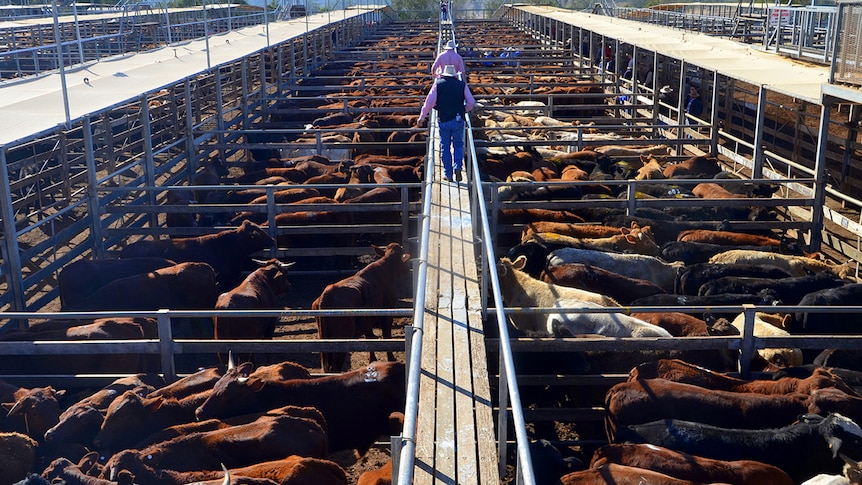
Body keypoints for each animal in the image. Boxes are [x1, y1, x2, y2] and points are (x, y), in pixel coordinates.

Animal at [314, 242, 412, 370]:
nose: (408, 271)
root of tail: (327, 294)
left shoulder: (367, 321)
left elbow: (369, 340)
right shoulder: (387, 316)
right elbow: (387, 337)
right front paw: (391, 359)